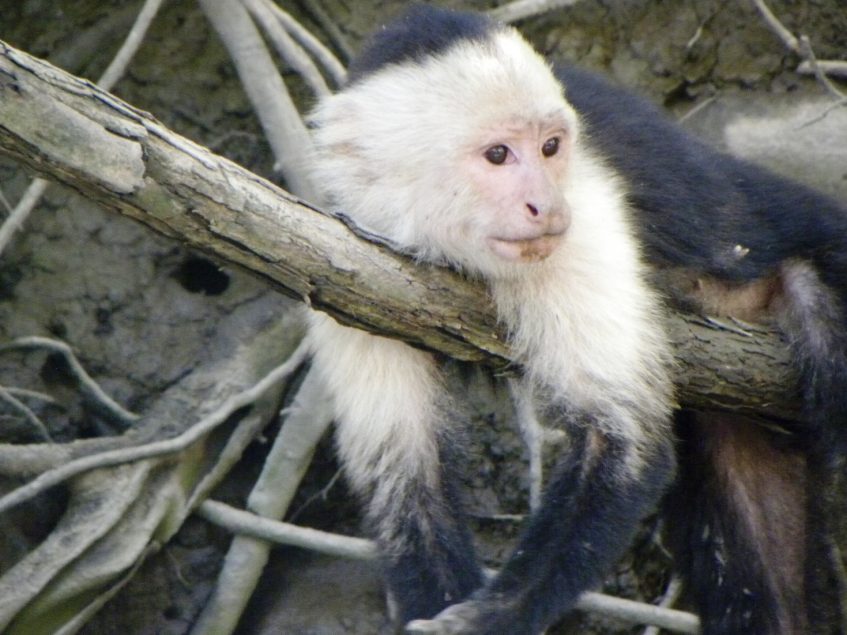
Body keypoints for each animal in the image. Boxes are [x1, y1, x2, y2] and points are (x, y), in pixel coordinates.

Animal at [304, 4, 847, 635]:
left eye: (551, 147)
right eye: (498, 155)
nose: (546, 206)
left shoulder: (582, 217)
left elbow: (620, 441)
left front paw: (484, 620)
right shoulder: (348, 253)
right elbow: (406, 473)